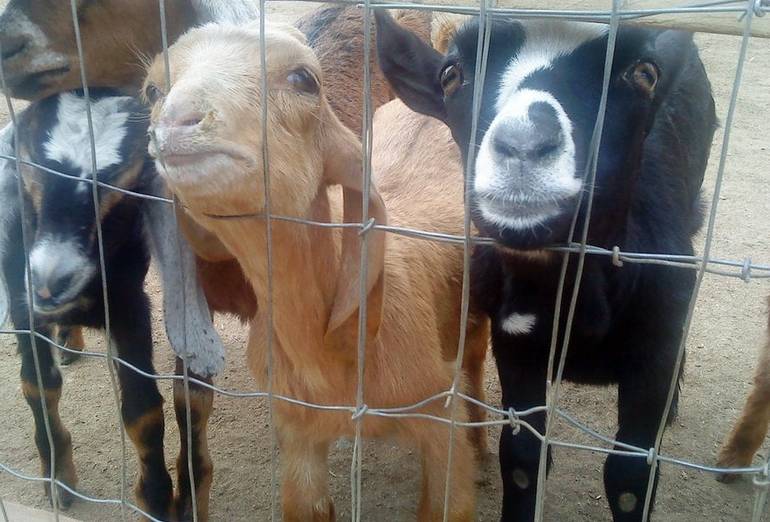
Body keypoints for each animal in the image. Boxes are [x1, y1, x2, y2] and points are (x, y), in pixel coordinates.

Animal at [0, 89, 218, 520]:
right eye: (30, 158)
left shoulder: (129, 306)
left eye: (123, 179)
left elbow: (143, 411)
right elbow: (37, 384)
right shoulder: (21, 295)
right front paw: (58, 479)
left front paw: (157, 501)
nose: (51, 282)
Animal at [144, 22, 486, 516]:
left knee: (475, 357)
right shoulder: (299, 433)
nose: (176, 122)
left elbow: (448, 501)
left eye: (304, 79)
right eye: (152, 90)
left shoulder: (438, 419)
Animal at [376, 14, 716, 516]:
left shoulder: (654, 352)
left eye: (643, 74)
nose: (524, 142)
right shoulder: (516, 344)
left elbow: (631, 477)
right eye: (452, 74)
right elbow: (522, 457)